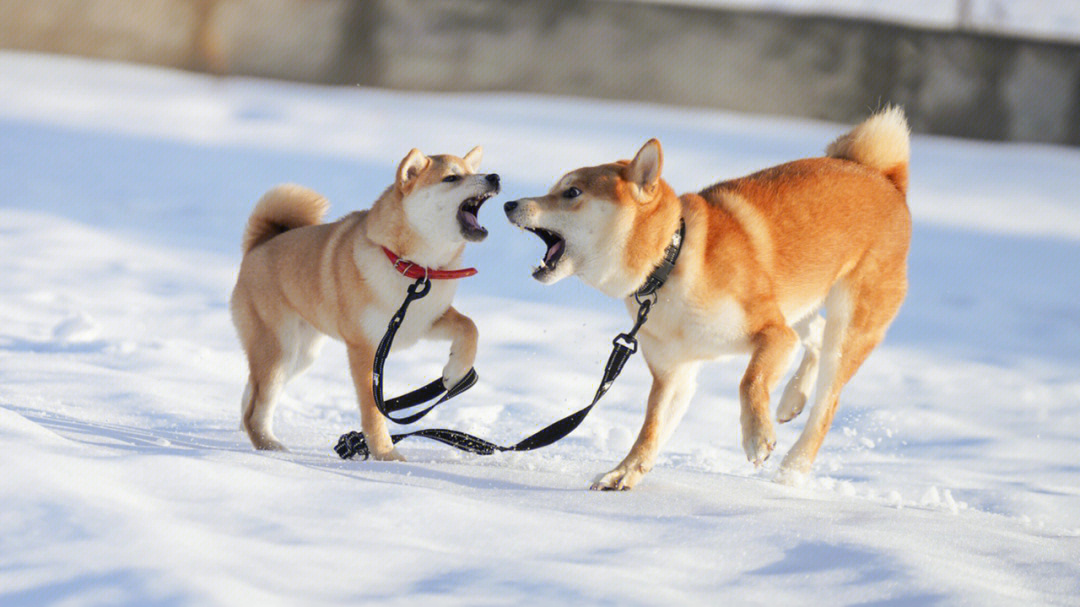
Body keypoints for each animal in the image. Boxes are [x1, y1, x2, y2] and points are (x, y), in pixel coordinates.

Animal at [233, 146, 501, 457]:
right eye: (452, 178)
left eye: (472, 172)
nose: (495, 177)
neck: (411, 268)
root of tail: (258, 245)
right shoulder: (365, 350)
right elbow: (373, 413)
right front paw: (386, 455)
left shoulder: (425, 321)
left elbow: (470, 327)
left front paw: (455, 372)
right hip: (280, 351)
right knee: (256, 408)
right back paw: (269, 446)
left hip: (301, 355)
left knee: (252, 394)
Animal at [505, 107, 911, 486]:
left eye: (572, 192)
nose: (509, 204)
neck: (668, 262)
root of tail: (884, 177)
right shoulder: (674, 372)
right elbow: (651, 427)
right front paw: (625, 473)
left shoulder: (770, 332)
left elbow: (749, 381)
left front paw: (757, 436)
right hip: (799, 305)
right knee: (813, 340)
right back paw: (791, 399)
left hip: (848, 325)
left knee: (828, 401)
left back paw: (792, 470)